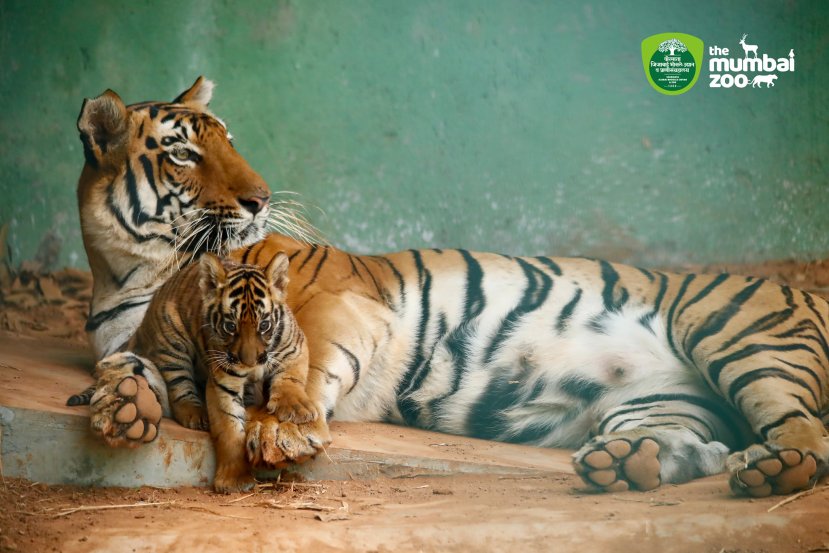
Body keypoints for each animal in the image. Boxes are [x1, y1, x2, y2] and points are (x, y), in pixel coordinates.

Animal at [74, 77, 824, 496]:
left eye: (230, 141)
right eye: (184, 152)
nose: (259, 199)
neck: (138, 272)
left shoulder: (335, 304)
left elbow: (303, 362)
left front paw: (282, 431)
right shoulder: (148, 334)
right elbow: (136, 364)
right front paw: (126, 403)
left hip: (741, 338)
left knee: (809, 435)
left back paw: (774, 470)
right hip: (663, 401)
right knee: (698, 446)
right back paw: (627, 464)